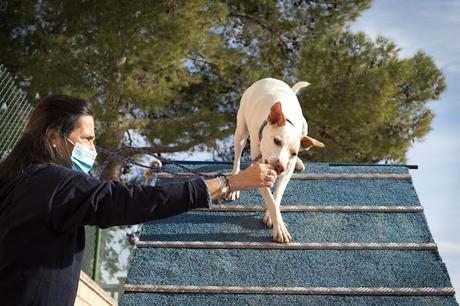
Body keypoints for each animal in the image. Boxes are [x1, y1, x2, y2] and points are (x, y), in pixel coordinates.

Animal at [227, 77, 324, 243]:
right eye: (277, 141)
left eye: (293, 153)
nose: (279, 166)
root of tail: (268, 78)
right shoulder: (258, 169)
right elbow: (270, 199)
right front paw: (279, 228)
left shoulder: (286, 172)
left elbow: (276, 196)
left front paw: (272, 217)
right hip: (241, 131)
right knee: (237, 157)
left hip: (305, 127)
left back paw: (299, 162)